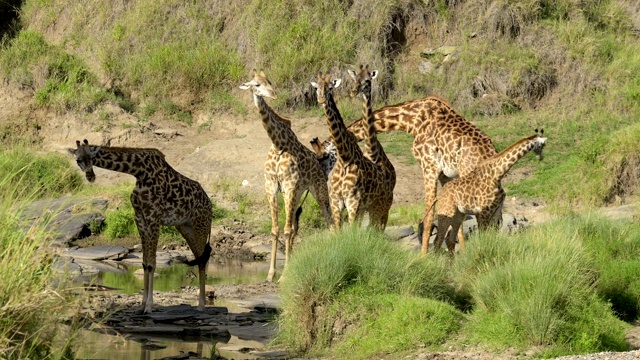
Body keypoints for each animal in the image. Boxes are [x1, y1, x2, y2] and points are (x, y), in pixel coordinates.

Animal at [69, 139, 211, 314]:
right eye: (78, 160)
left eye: (91, 156)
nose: (90, 176)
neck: (138, 171)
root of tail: (210, 203)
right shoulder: (140, 218)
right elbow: (144, 263)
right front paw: (141, 305)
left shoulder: (154, 218)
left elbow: (152, 264)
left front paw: (149, 306)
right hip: (185, 227)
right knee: (200, 257)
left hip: (200, 225)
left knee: (203, 259)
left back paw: (201, 305)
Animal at [239, 69, 332, 282]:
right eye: (256, 85)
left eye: (270, 82)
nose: (273, 94)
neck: (279, 144)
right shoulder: (271, 187)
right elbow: (276, 230)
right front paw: (271, 274)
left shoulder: (289, 186)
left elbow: (287, 231)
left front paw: (284, 275)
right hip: (298, 195)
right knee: (300, 226)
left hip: (318, 191)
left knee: (331, 222)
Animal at [312, 73, 396, 231]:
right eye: (316, 88)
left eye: (330, 88)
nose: (321, 100)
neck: (345, 158)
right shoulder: (336, 200)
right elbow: (339, 231)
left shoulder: (353, 201)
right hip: (368, 207)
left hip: (380, 205)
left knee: (379, 227)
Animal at [316, 94, 500, 255]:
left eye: (323, 157)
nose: (328, 180)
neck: (411, 119)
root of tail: (490, 152)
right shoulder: (446, 175)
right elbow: (455, 217)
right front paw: (459, 253)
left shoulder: (429, 166)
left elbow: (429, 216)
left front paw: (424, 257)